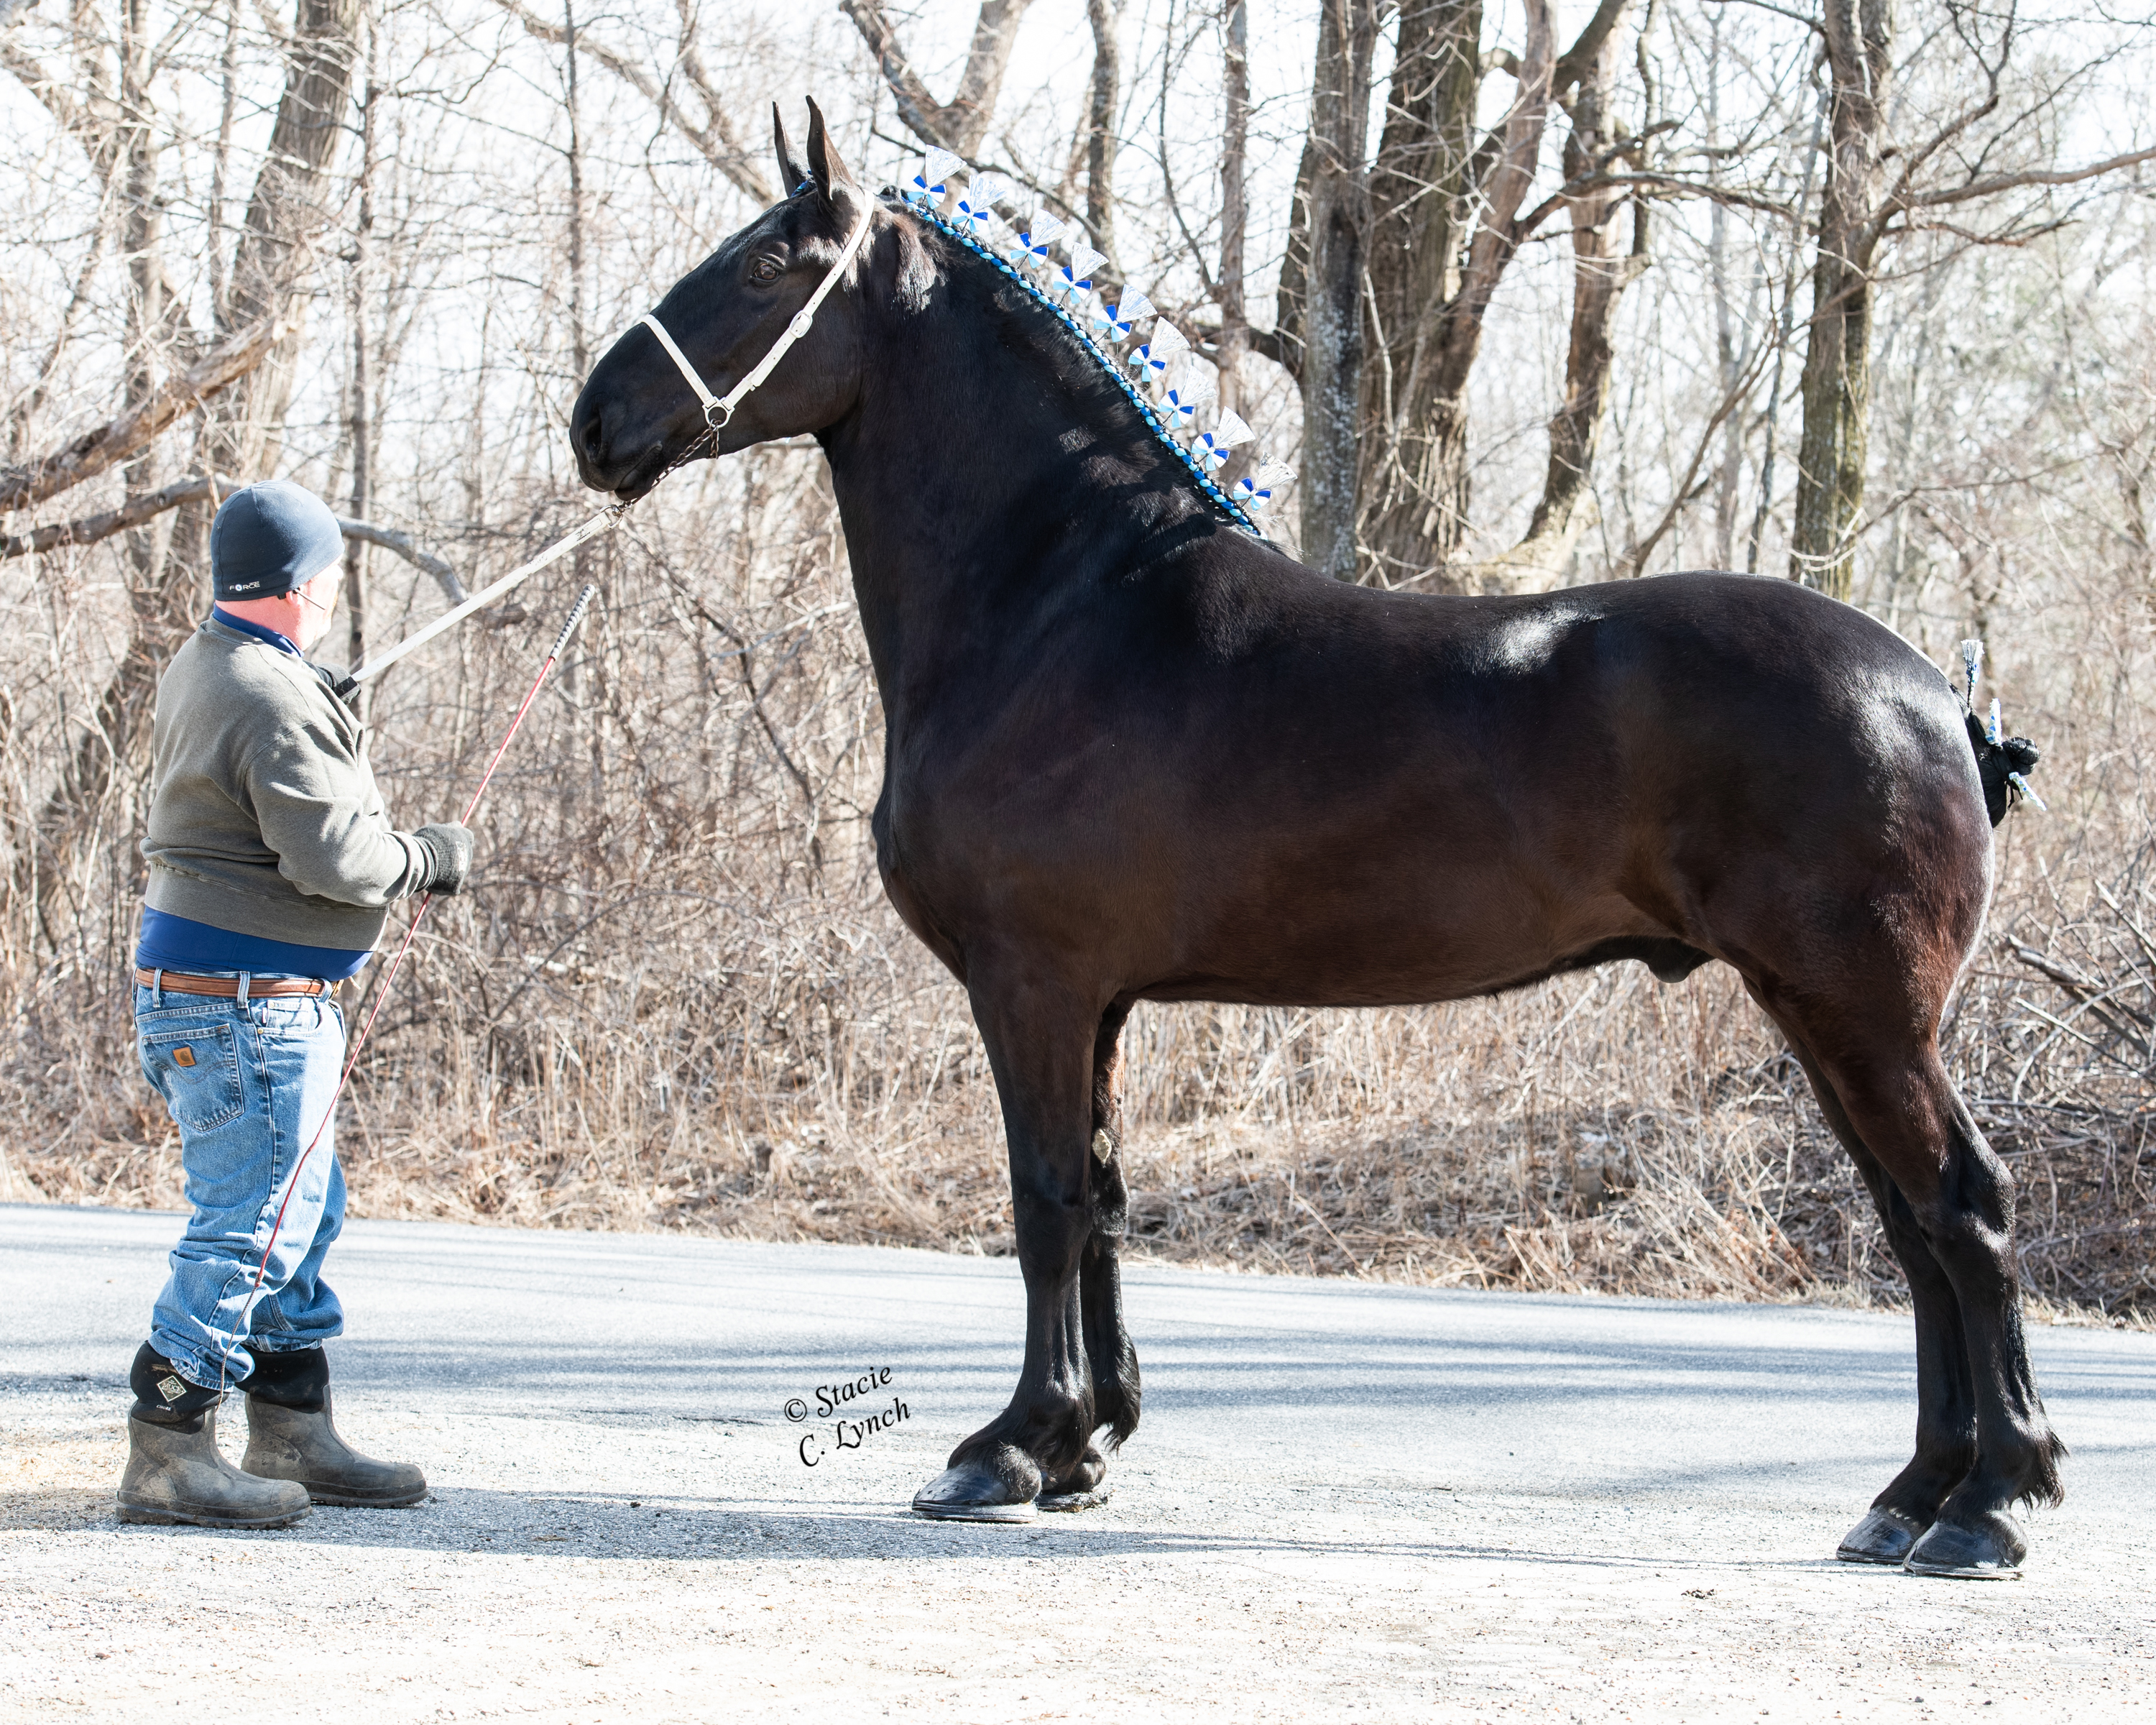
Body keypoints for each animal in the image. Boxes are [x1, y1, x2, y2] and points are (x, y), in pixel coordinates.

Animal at [578, 97, 2070, 1578]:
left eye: (768, 263)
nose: (596, 419)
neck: (1061, 608)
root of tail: (1939, 697)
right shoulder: (1100, 1004)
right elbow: (1105, 1199)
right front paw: (1085, 1451)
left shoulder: (1032, 985)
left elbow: (1045, 1203)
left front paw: (1008, 1449)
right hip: (1822, 1015)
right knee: (1913, 1228)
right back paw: (1911, 1498)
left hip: (1862, 1013)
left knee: (1966, 1210)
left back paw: (1986, 1507)